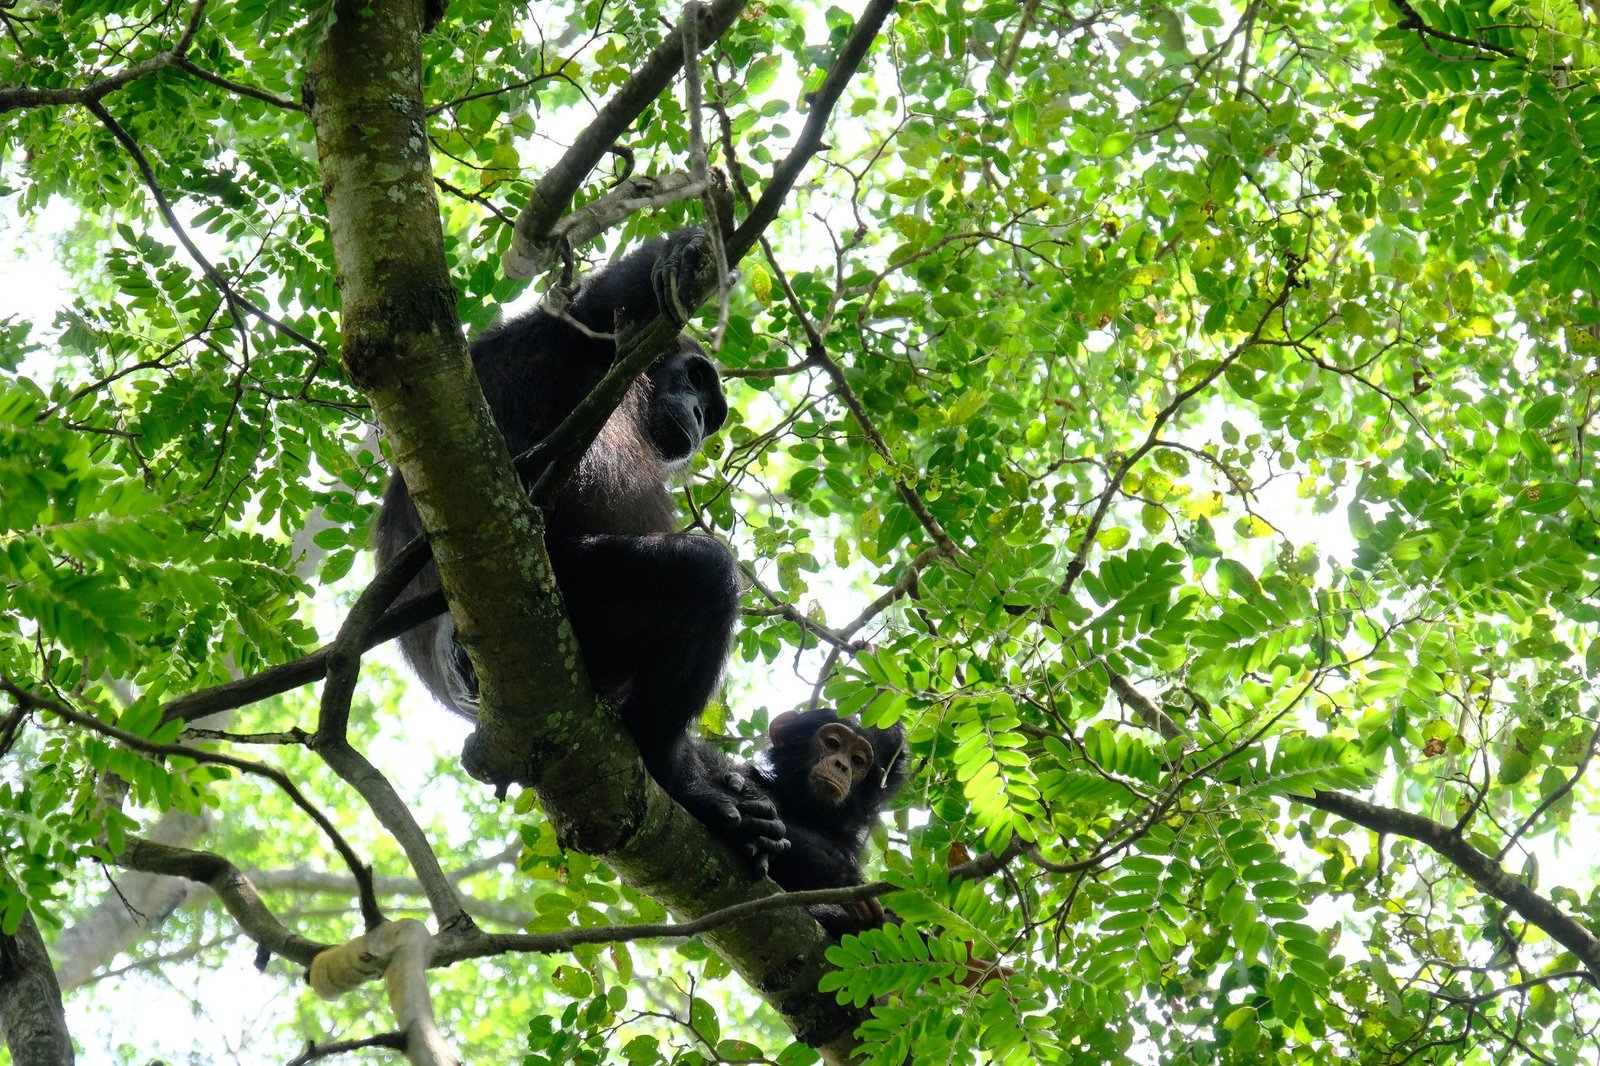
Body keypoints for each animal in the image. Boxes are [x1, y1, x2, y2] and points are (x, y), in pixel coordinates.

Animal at [379, 228, 787, 870]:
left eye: (713, 410)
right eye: (696, 380)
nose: (703, 417)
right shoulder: (574, 342)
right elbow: (602, 301)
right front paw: (688, 251)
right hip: (572, 598)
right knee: (704, 575)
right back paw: (674, 773)